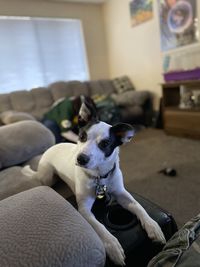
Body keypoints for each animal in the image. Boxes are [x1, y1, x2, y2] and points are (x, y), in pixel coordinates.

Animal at [22, 99, 166, 266]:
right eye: (82, 136)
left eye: (104, 144)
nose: (81, 159)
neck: (100, 176)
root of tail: (54, 145)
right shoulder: (84, 209)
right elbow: (99, 226)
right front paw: (112, 245)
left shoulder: (122, 194)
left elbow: (138, 206)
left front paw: (152, 225)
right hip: (47, 176)